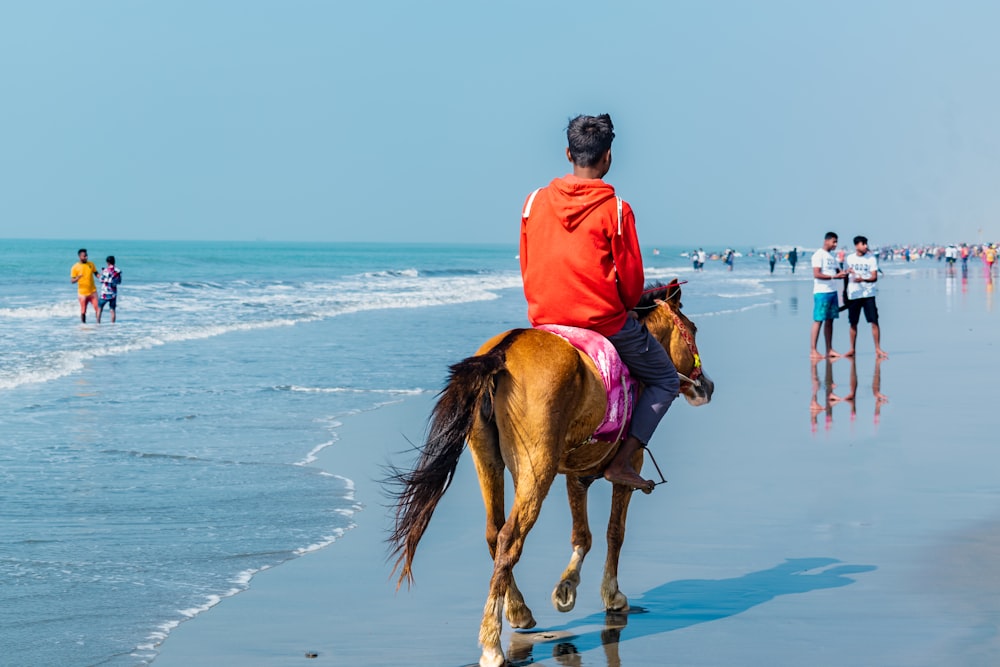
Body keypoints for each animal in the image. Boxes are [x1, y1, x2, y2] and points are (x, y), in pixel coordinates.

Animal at [388, 280, 712, 664]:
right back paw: (492, 642)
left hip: (487, 461)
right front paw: (611, 594)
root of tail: (502, 351)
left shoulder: (577, 474)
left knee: (494, 533)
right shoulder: (629, 467)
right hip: (536, 470)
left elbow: (582, 535)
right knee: (510, 538)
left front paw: (567, 587)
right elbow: (614, 533)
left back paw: (518, 611)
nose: (706, 385)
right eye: (693, 330)